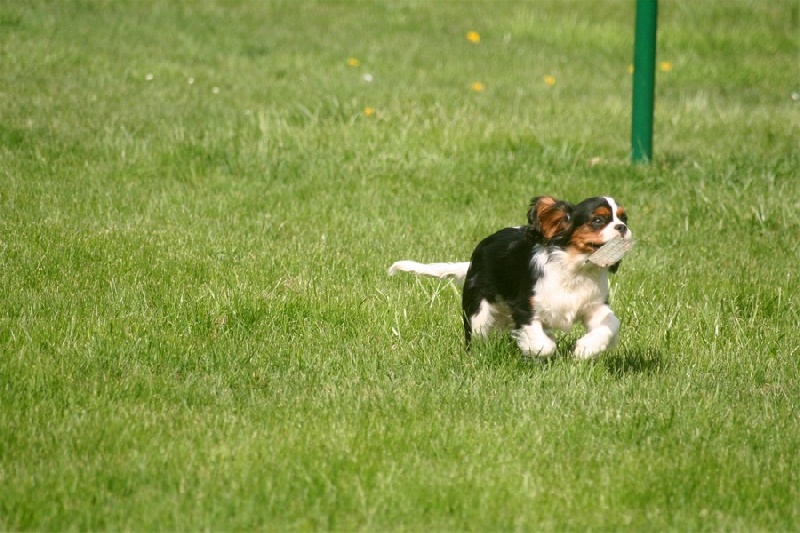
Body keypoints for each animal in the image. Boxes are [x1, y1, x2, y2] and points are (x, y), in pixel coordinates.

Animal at [390, 193, 636, 360]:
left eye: (624, 218)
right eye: (598, 220)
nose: (622, 227)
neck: (576, 269)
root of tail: (473, 261)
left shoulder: (595, 306)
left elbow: (611, 323)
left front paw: (585, 349)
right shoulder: (525, 308)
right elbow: (544, 346)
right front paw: (535, 348)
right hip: (478, 313)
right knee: (476, 336)